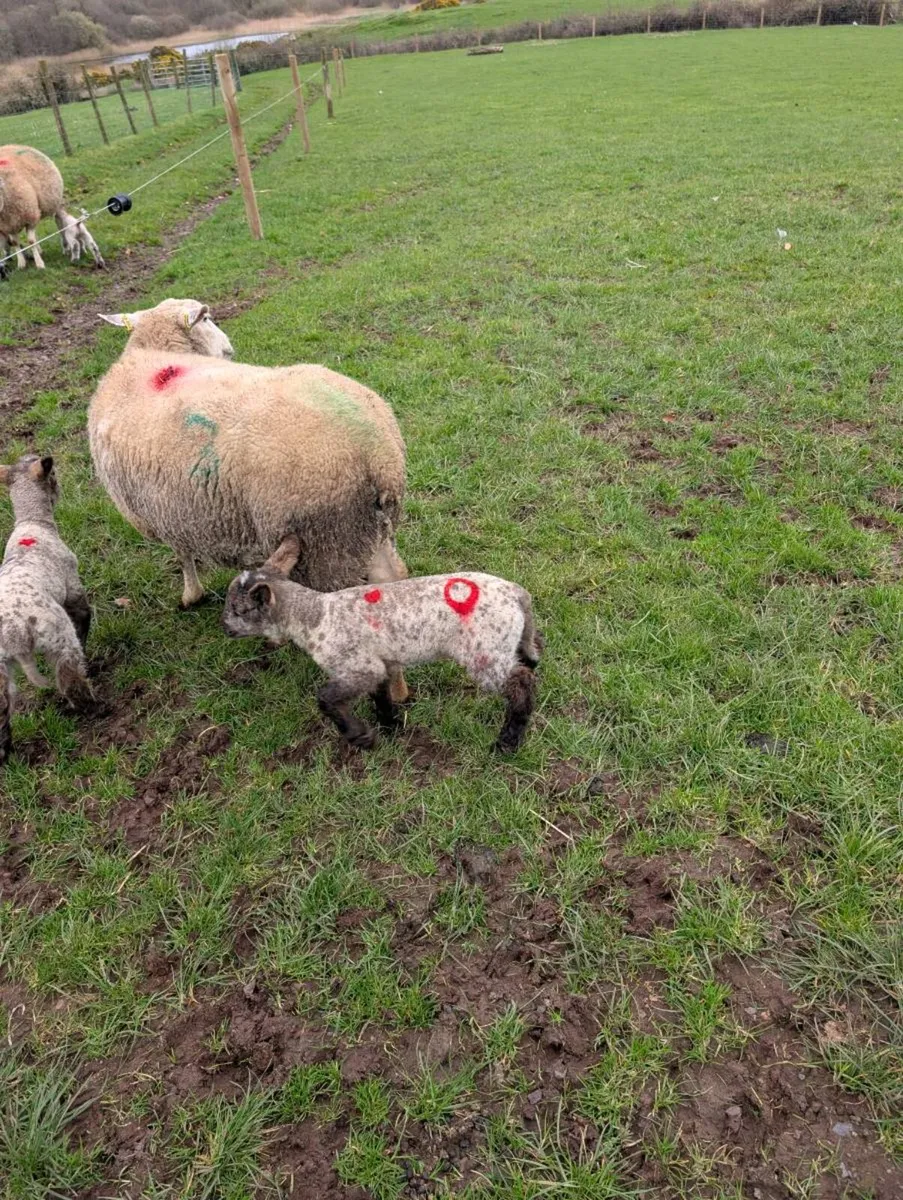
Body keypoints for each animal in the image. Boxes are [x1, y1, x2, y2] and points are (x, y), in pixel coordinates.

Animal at [0, 454, 93, 764]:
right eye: (54, 476)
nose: (60, 488)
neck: (32, 522)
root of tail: (14, 633)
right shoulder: (73, 586)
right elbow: (84, 618)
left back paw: (6, 755)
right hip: (58, 634)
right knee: (70, 677)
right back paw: (93, 710)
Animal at [88, 297, 410, 700]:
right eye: (208, 319)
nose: (229, 349)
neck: (154, 352)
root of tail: (376, 453)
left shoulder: (166, 513)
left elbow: (182, 555)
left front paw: (191, 595)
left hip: (328, 542)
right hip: (367, 529)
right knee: (390, 582)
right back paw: (399, 690)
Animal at [222, 535, 541, 753]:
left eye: (238, 610)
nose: (224, 627)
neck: (313, 615)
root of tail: (516, 593)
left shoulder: (357, 665)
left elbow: (325, 697)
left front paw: (360, 736)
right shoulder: (379, 661)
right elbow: (381, 695)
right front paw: (391, 726)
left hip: (483, 651)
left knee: (521, 684)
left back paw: (508, 741)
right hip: (508, 641)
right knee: (531, 657)